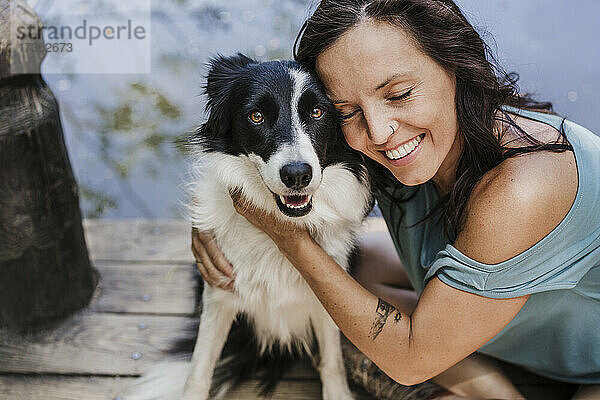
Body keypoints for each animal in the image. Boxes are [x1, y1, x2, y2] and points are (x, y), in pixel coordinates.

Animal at [125, 54, 370, 400]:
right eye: (257, 116)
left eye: (317, 112)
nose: (297, 175)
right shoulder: (219, 294)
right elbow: (199, 368)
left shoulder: (330, 299)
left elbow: (332, 362)